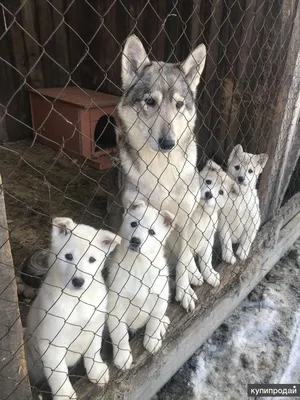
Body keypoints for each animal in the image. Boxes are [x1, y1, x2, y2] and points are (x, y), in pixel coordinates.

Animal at [24, 219, 120, 400]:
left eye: (92, 259)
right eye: (68, 256)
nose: (78, 281)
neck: (77, 300)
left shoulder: (95, 326)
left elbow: (93, 351)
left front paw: (96, 371)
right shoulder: (51, 344)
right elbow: (58, 374)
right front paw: (64, 394)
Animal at [107, 202, 173, 370]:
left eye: (152, 232)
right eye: (133, 224)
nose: (135, 240)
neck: (138, 266)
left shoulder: (160, 297)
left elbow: (154, 322)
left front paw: (152, 340)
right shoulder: (115, 307)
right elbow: (120, 334)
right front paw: (123, 357)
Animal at [110, 34, 206, 310]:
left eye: (179, 104)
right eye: (150, 102)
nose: (167, 143)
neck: (161, 168)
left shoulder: (184, 219)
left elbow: (183, 260)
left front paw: (184, 291)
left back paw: (195, 273)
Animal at [172, 159, 238, 310]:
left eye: (221, 192)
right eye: (208, 181)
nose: (209, 194)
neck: (201, 214)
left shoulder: (207, 238)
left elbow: (206, 260)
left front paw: (210, 275)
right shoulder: (182, 238)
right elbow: (187, 259)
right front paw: (195, 275)